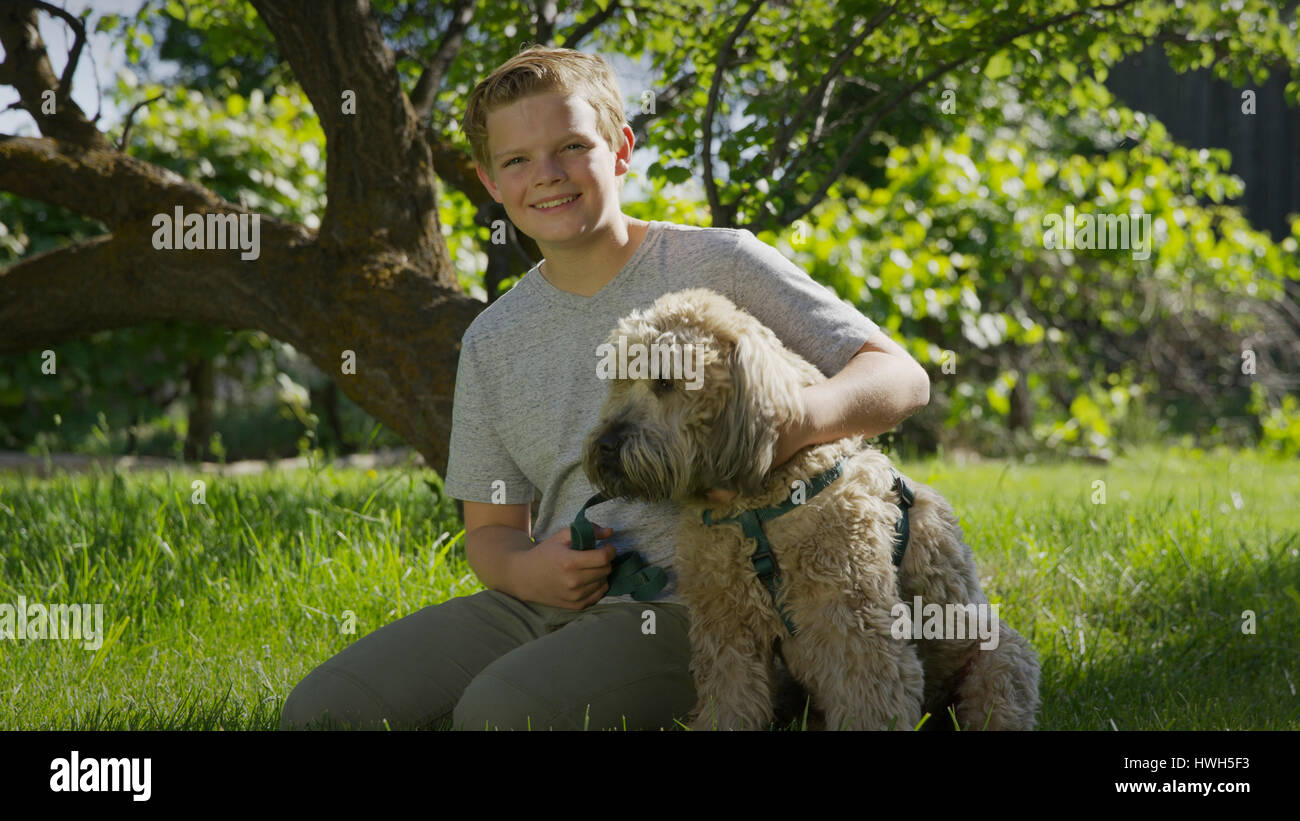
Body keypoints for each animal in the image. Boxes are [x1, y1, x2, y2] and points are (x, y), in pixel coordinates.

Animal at [585, 287, 1040, 732]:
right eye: (620, 380)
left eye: (664, 380)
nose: (605, 446)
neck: (754, 509)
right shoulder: (728, 625)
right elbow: (731, 700)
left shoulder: (853, 626)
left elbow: (870, 707)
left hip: (1000, 664)